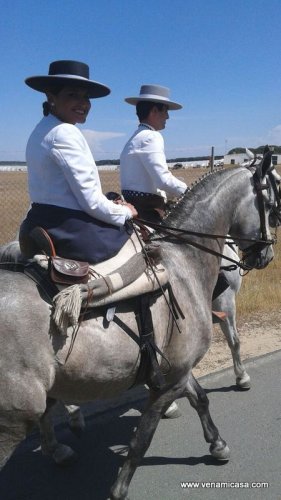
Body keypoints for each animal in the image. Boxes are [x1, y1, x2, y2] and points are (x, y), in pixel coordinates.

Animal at [0, 157, 276, 500]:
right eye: (271, 203)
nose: (267, 254)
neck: (184, 261)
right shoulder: (172, 375)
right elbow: (143, 437)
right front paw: (119, 489)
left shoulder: (176, 368)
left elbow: (200, 398)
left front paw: (217, 444)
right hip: (13, 417)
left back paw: (60, 446)